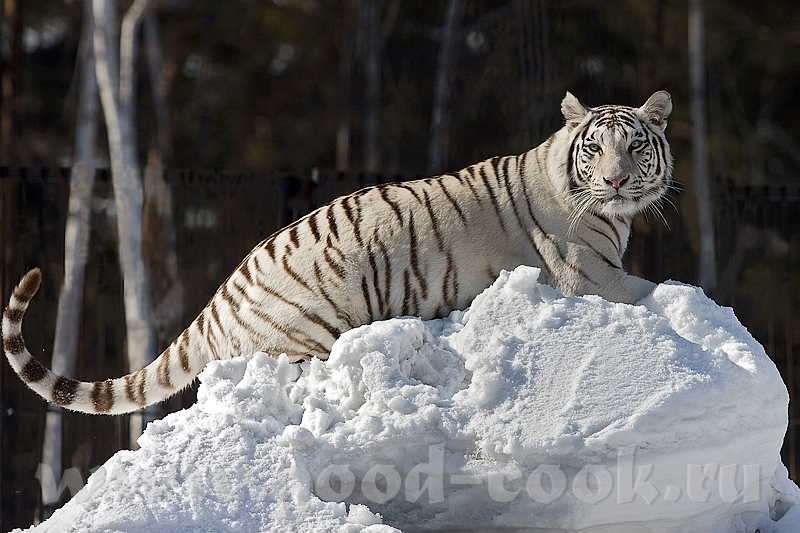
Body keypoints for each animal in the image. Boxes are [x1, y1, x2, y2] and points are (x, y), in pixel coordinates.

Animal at [3, 90, 672, 416]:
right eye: (595, 149)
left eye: (634, 146)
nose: (615, 180)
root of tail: (220, 298)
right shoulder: (591, 276)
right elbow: (660, 290)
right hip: (309, 336)